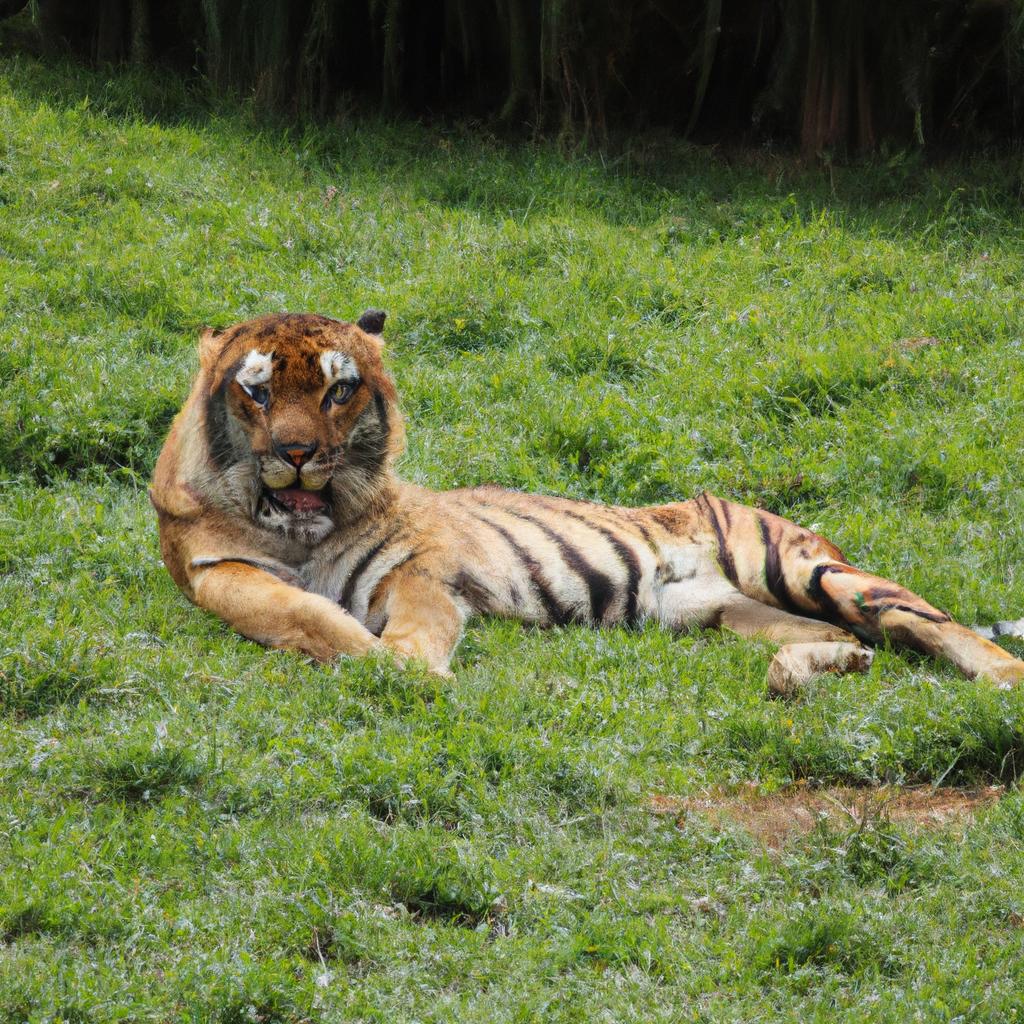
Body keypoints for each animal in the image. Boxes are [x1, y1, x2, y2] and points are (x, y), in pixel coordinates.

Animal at [149, 311, 1024, 688]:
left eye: (338, 391)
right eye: (259, 393)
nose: (297, 454)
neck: (302, 531)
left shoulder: (421, 572)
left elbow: (410, 633)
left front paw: (399, 667)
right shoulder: (217, 573)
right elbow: (293, 612)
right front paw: (335, 644)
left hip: (800, 569)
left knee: (934, 625)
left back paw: (998, 683)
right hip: (720, 613)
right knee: (844, 639)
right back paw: (819, 667)